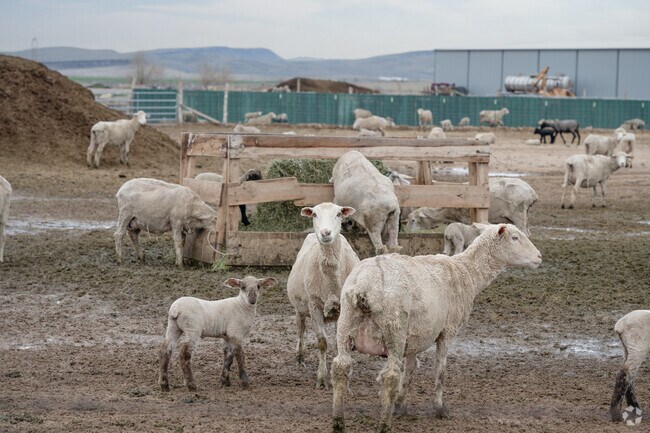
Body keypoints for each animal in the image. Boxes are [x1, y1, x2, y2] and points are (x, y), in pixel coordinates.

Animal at [287, 202, 359, 389]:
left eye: (339, 214)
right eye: (314, 215)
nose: (325, 233)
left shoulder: (344, 308)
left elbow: (340, 342)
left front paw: (342, 372)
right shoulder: (315, 306)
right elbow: (322, 343)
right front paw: (322, 378)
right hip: (300, 307)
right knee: (300, 327)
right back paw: (300, 357)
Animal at [330, 223, 542, 433]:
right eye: (515, 238)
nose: (539, 257)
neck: (466, 273)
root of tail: (365, 286)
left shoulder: (415, 336)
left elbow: (410, 370)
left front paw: (400, 404)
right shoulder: (448, 330)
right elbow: (440, 370)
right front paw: (440, 408)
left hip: (345, 325)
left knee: (341, 368)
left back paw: (338, 422)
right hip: (394, 328)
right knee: (390, 375)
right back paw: (384, 425)